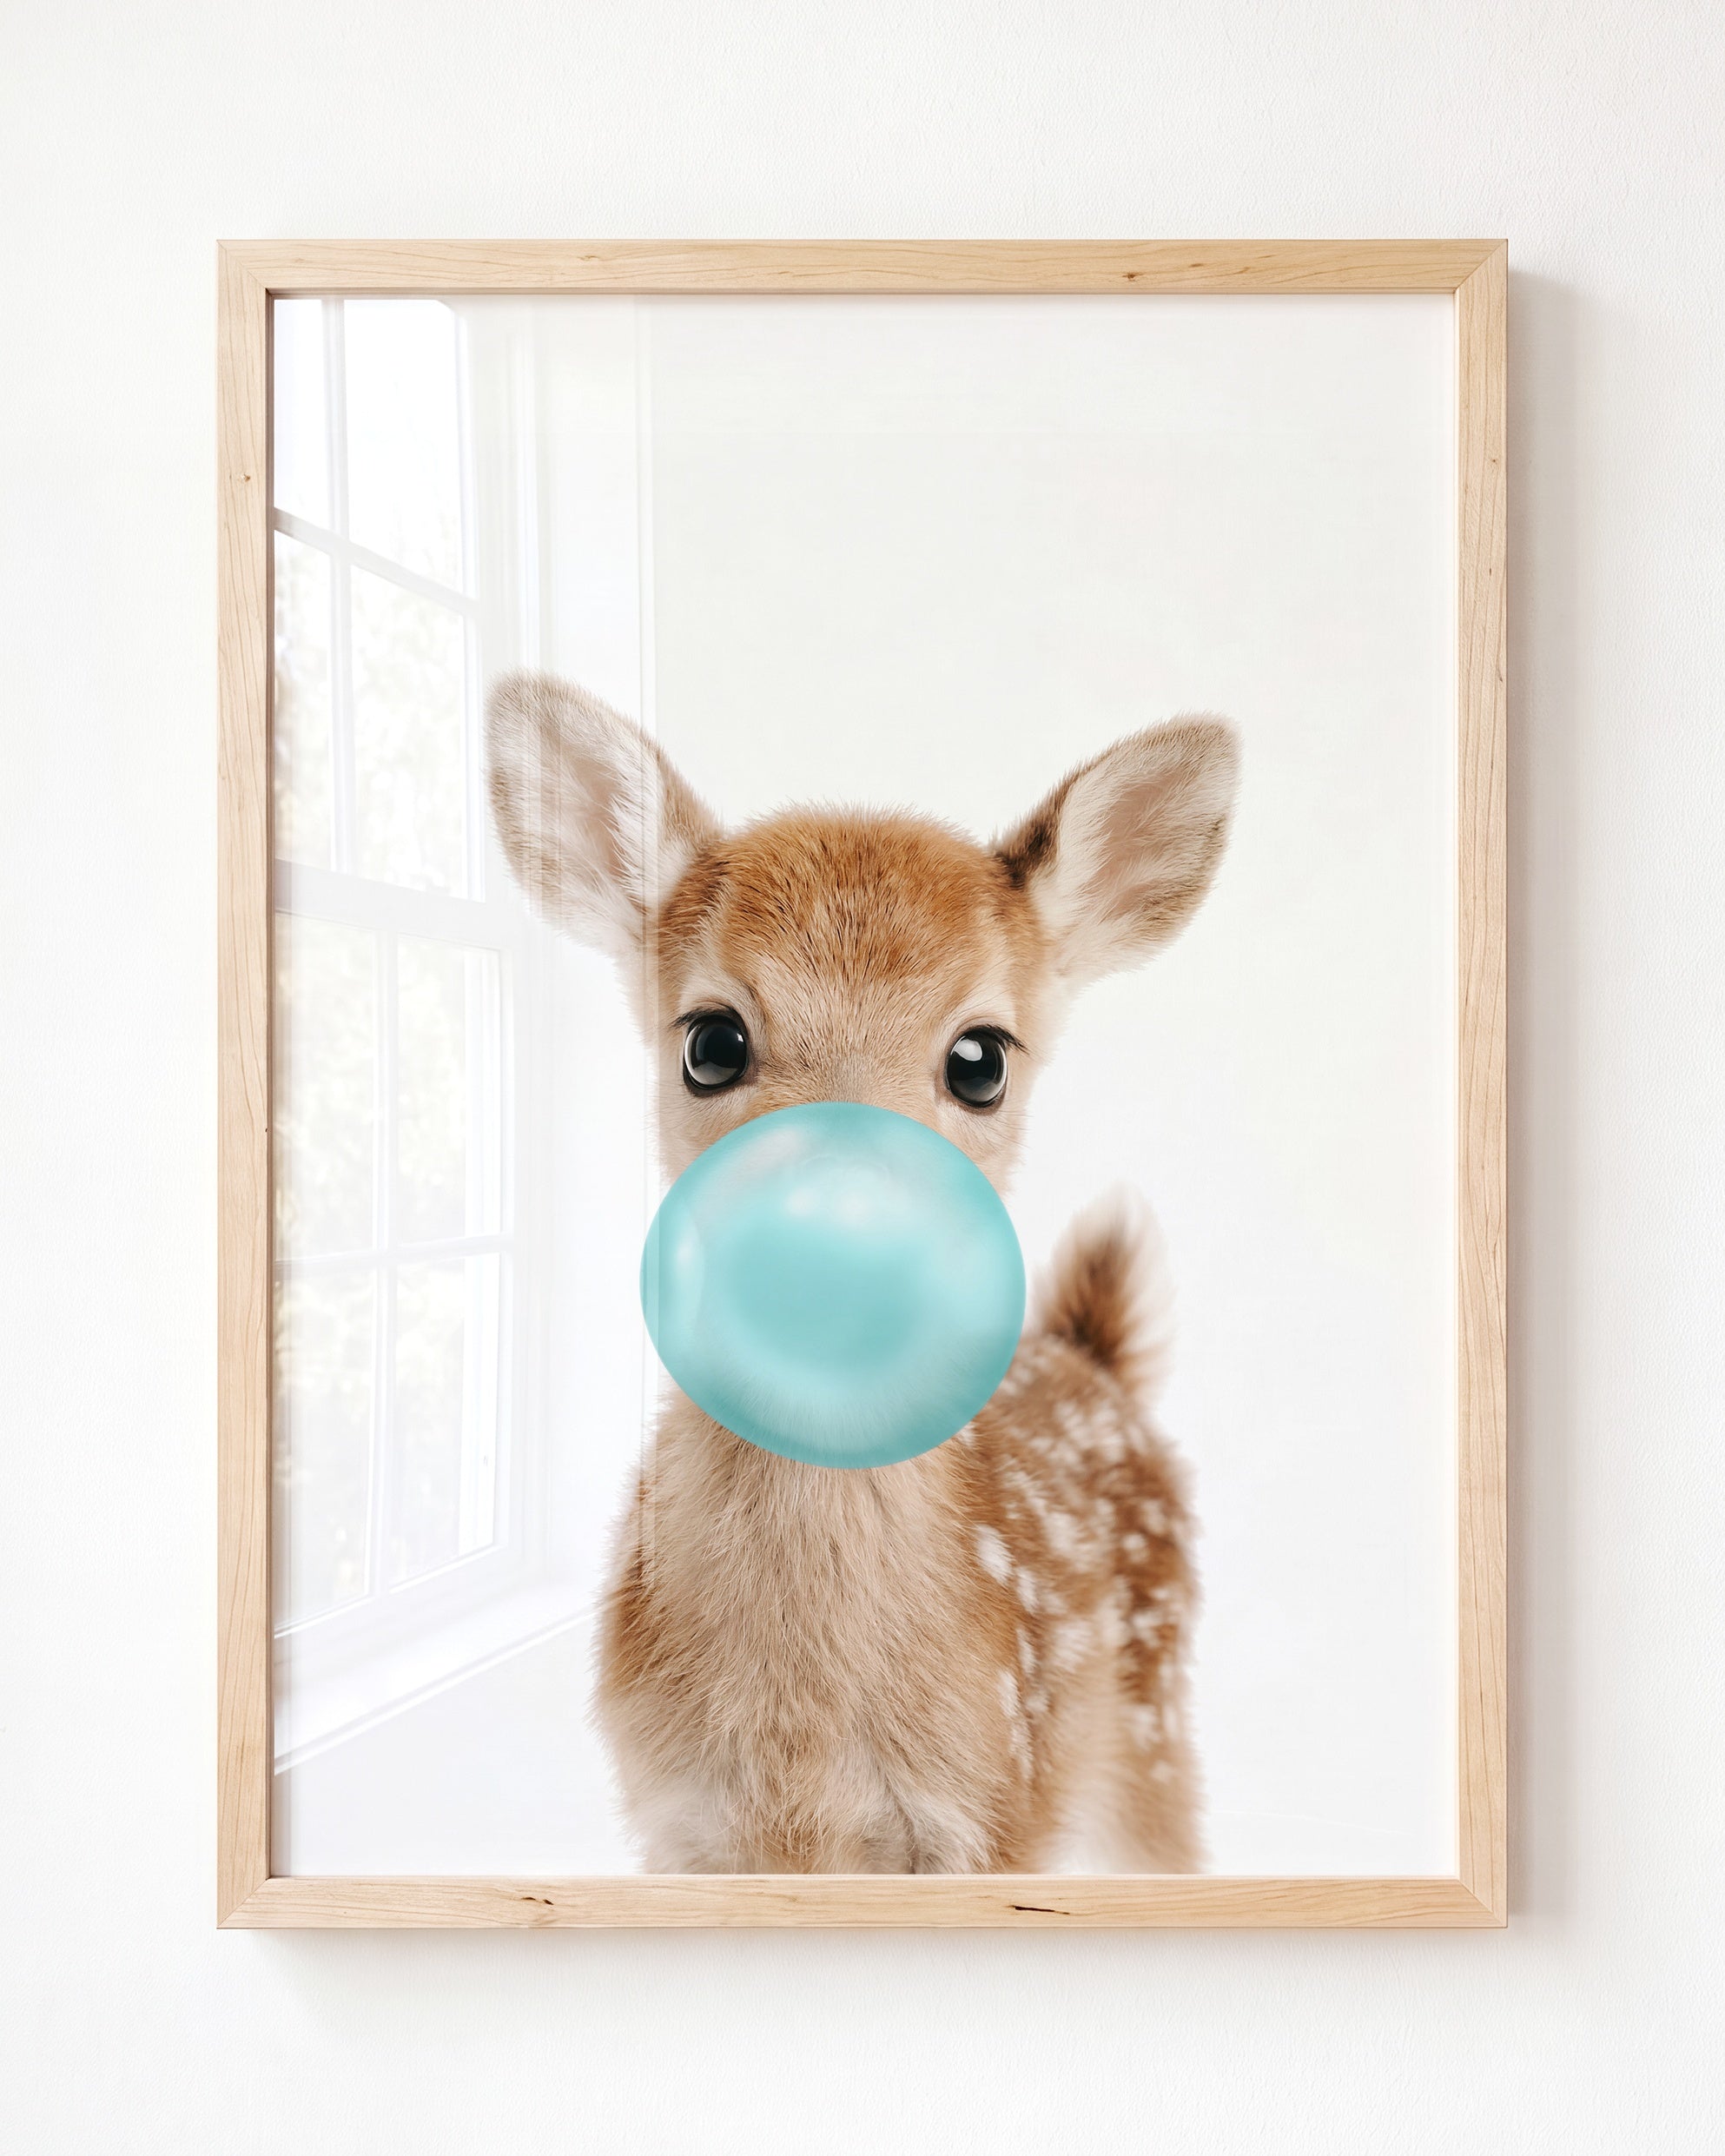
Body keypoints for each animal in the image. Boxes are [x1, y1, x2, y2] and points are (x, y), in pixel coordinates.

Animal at [486, 670, 1239, 1874]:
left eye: (981, 1059)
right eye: (710, 1042)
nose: (836, 1240)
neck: (801, 1754)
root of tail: (1096, 1361)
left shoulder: (992, 1811)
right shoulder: (678, 1826)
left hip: (1150, 1742)